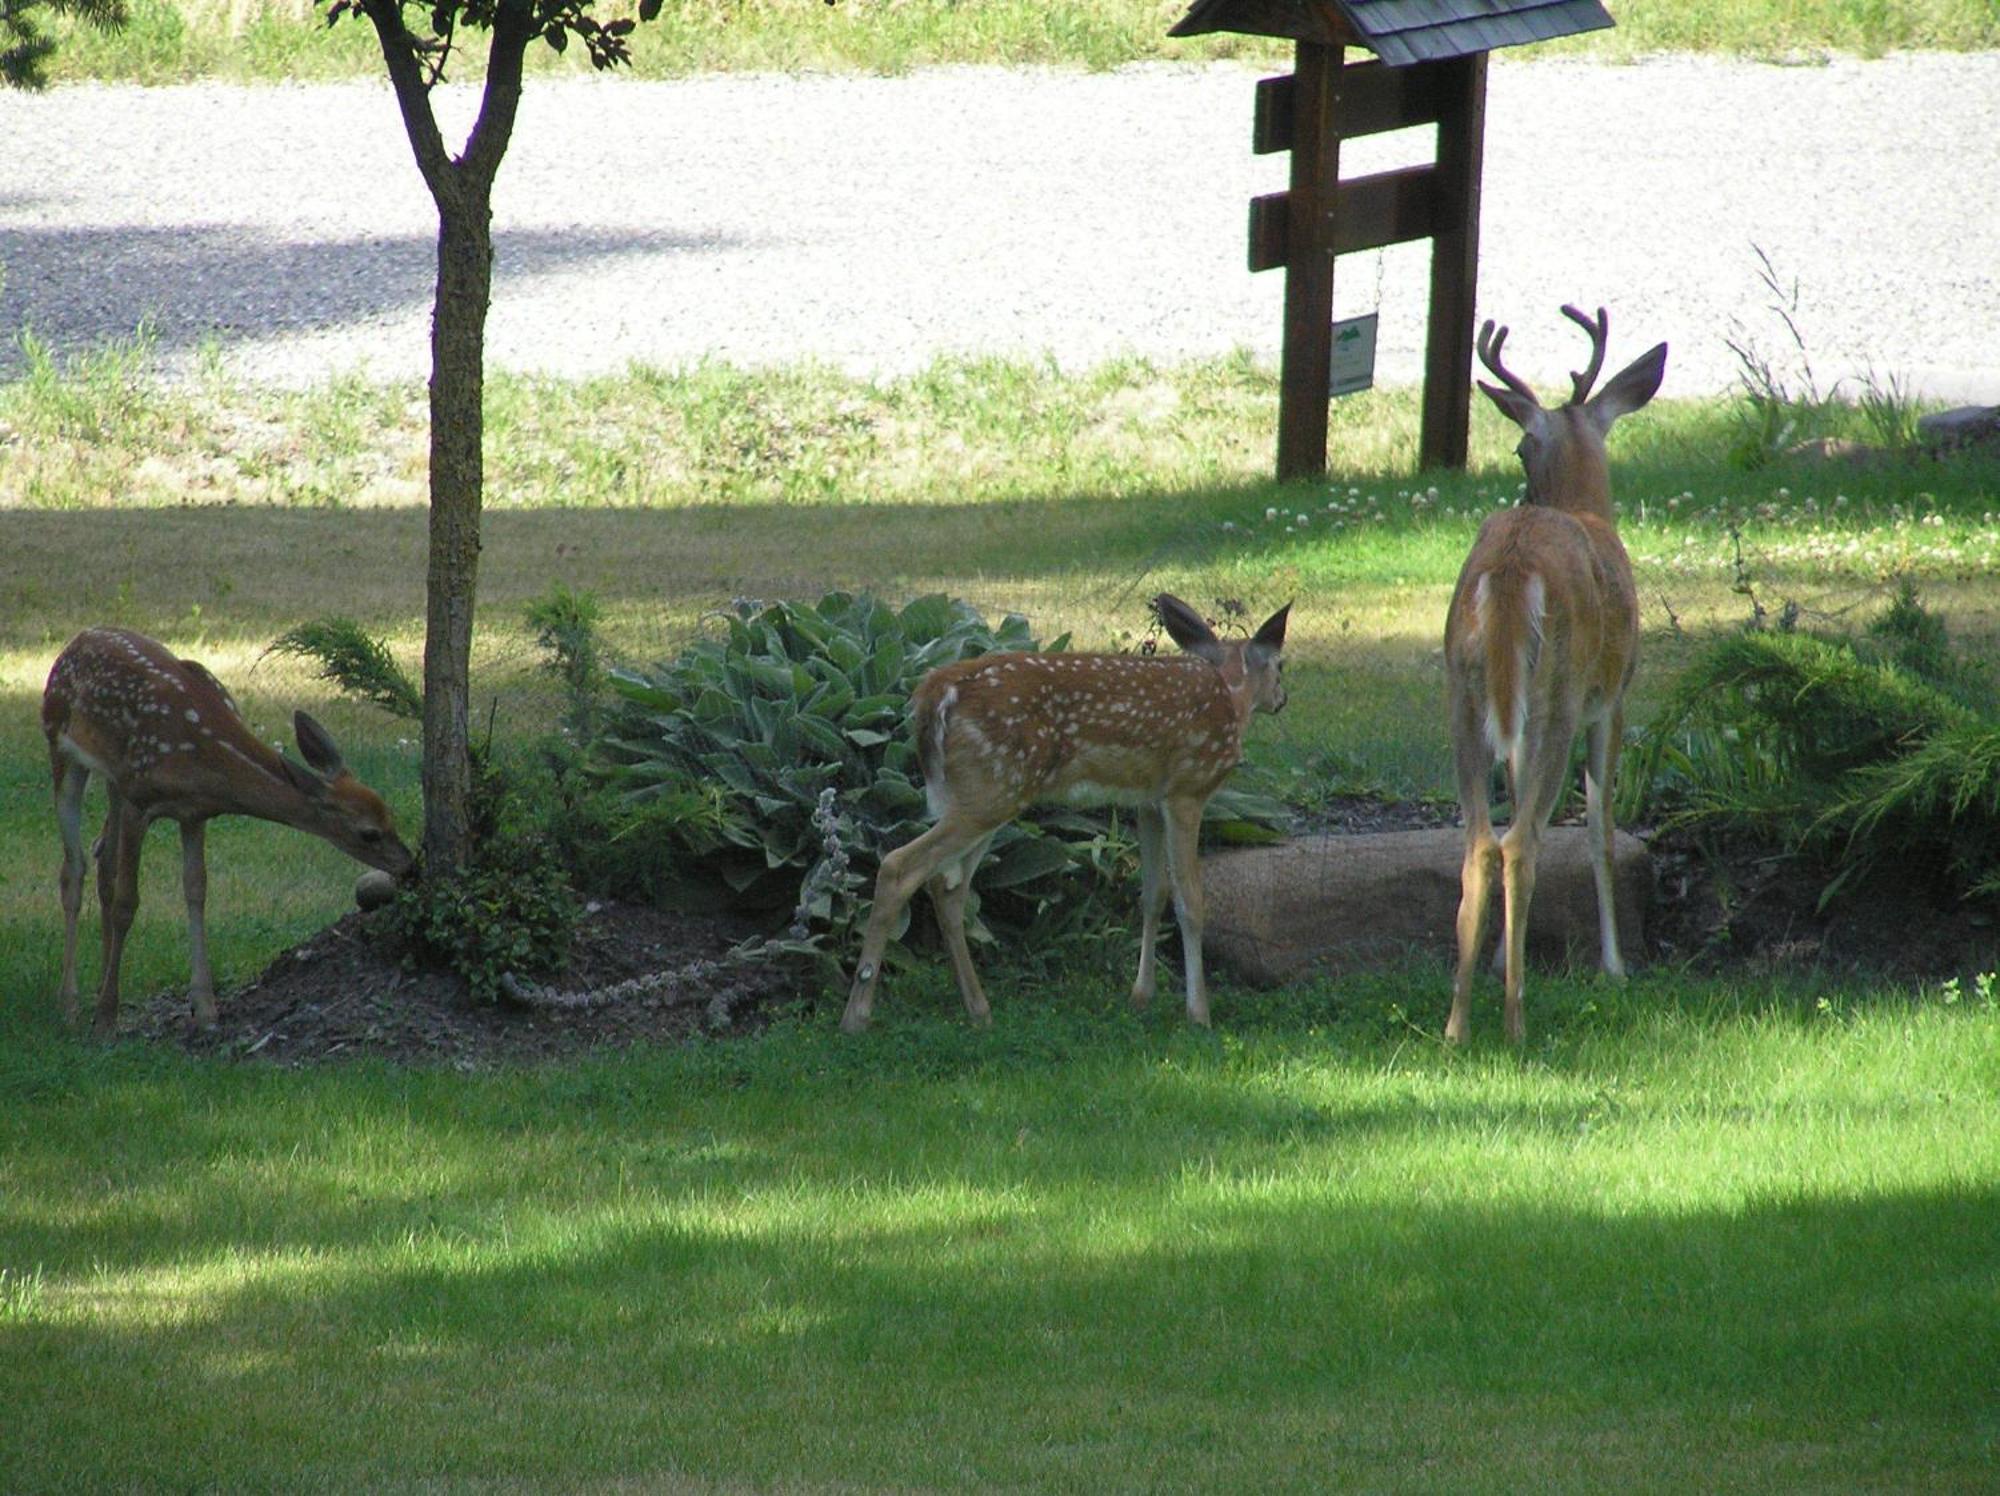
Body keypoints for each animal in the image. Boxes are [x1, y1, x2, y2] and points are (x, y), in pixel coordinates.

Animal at [44, 624, 414, 1032]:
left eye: (390, 815)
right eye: (369, 833)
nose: (409, 864)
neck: (206, 758)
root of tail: (79, 637)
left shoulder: (193, 813)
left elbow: (196, 889)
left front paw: (205, 1007)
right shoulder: (139, 799)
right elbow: (129, 902)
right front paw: (107, 1018)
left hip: (113, 780)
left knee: (103, 859)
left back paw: (98, 984)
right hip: (60, 742)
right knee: (74, 868)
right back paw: (70, 1003)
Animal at [840, 592, 1280, 1032]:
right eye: (1280, 666)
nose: (1282, 700)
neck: (1232, 699)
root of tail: (932, 695)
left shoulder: (1147, 802)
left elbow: (1153, 894)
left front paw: (1141, 997)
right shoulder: (1188, 789)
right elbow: (1190, 901)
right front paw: (1199, 1014)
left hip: (983, 795)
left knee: (947, 888)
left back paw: (978, 1010)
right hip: (991, 791)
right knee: (898, 866)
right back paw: (857, 1015)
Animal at [1448, 306, 1664, 1040]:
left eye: (1518, 448)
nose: (1519, 487)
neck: (1586, 510)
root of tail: (1511, 567)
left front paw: (1496, 961)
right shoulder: (1614, 698)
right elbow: (1600, 828)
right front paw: (1615, 966)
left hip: (1462, 692)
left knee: (1481, 841)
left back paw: (1458, 1024)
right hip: (1561, 697)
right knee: (1520, 842)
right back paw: (1515, 1023)